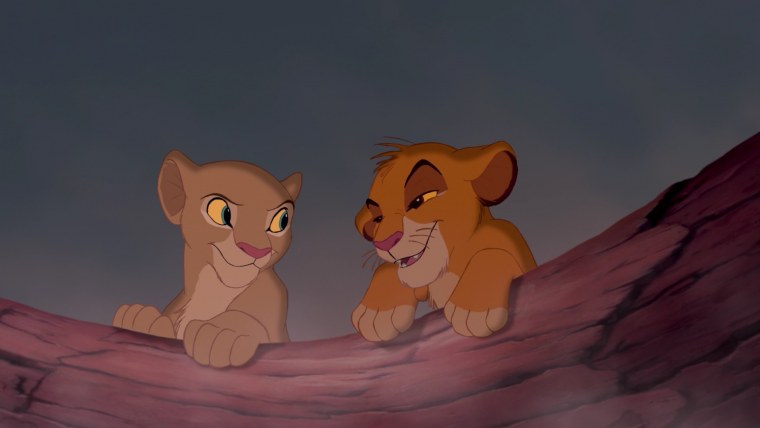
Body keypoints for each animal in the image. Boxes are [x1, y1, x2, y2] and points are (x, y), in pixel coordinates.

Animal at [352, 140, 536, 341]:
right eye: (378, 219)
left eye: (422, 199)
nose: (384, 242)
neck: (450, 263)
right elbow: (388, 270)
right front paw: (376, 313)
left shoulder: (513, 245)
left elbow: (492, 255)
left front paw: (472, 309)